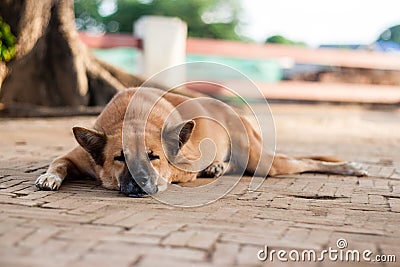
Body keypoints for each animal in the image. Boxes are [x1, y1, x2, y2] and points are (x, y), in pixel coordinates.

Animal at [36, 87, 368, 197]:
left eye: (154, 156)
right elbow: (57, 162)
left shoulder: (185, 162)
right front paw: (49, 177)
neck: (131, 118)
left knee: (304, 161)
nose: (141, 183)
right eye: (120, 158)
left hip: (263, 161)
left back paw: (350, 167)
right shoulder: (76, 156)